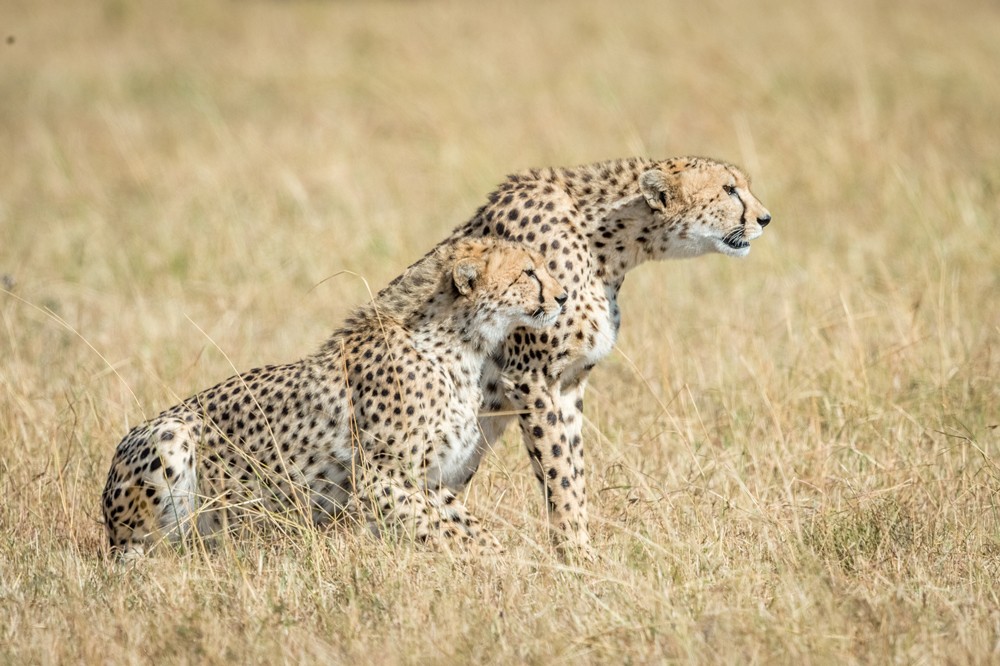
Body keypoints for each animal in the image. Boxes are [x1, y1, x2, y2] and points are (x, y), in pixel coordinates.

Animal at [106, 236, 572, 556]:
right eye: (528, 273)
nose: (564, 296)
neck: (460, 343)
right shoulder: (380, 479)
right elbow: (448, 534)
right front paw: (500, 567)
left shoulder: (431, 480)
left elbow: (467, 526)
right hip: (170, 436)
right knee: (141, 552)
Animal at [432, 156, 772, 548]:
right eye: (728, 189)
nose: (765, 218)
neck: (608, 243)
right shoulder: (528, 377)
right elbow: (558, 469)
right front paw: (576, 550)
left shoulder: (568, 383)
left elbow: (573, 469)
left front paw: (579, 543)